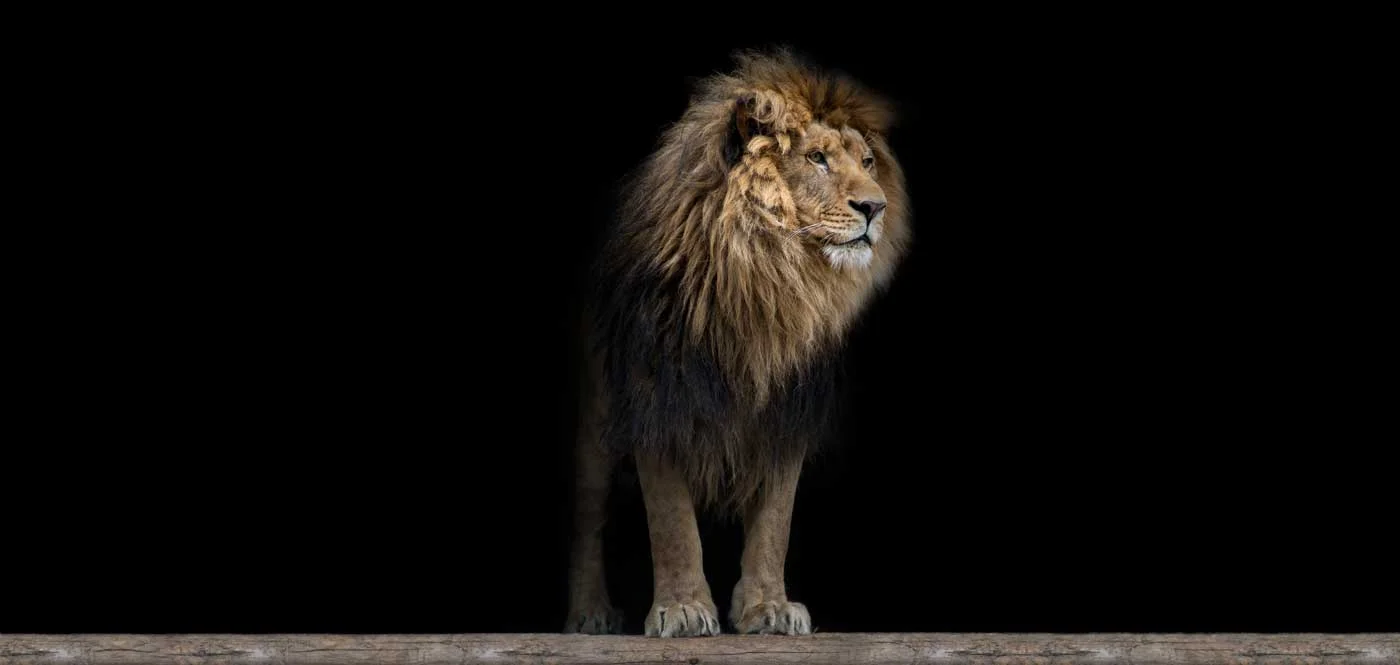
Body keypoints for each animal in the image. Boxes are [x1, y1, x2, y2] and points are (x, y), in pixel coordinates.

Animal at [565, 48, 911, 637]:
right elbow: (672, 518)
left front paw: (768, 608)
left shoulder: (788, 411)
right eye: (816, 158)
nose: (875, 207)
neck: (763, 284)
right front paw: (683, 609)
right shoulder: (657, 395)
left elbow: (775, 521)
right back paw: (589, 614)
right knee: (589, 513)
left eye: (867, 162)